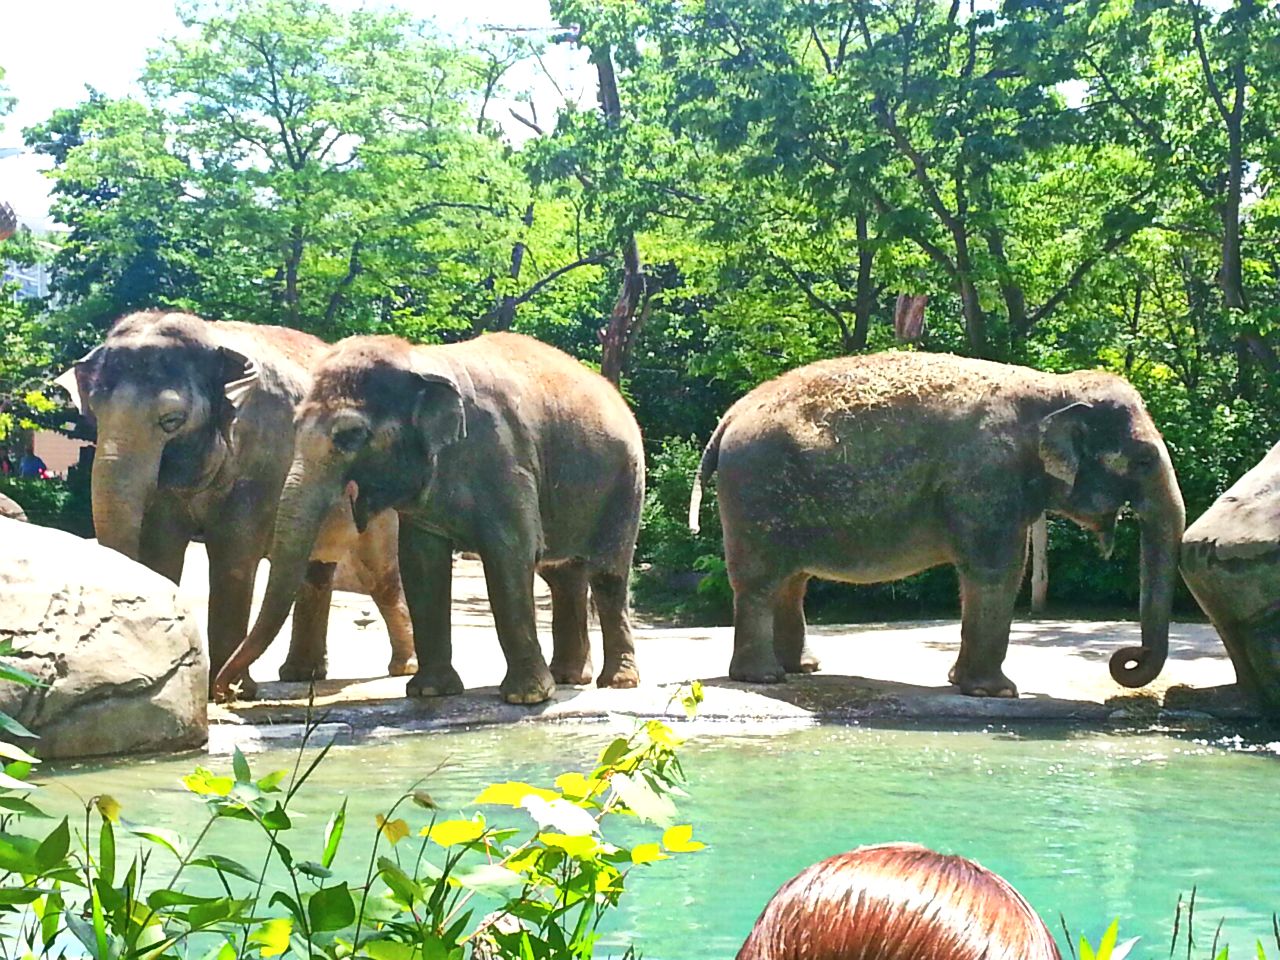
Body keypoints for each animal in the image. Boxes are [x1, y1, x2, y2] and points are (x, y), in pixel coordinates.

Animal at [54, 311, 416, 692]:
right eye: (94, 415)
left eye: (171, 420)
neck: (214, 339)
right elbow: (162, 548)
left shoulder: (261, 456)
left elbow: (234, 553)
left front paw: (230, 691)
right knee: (316, 569)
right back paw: (301, 674)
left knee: (380, 575)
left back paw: (402, 667)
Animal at [211, 331, 645, 706]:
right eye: (296, 426)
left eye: (350, 435)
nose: (226, 692)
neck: (423, 360)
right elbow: (421, 562)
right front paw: (430, 692)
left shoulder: (507, 462)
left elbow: (509, 555)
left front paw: (527, 698)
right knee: (562, 576)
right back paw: (570, 677)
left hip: (625, 484)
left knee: (607, 575)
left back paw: (616, 682)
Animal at [688, 351, 1186, 697]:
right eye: (1144, 460)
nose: (1125, 660)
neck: (1053, 387)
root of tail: (729, 416)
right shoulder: (986, 476)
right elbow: (998, 570)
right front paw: (996, 693)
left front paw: (961, 682)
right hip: (755, 487)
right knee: (761, 581)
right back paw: (765, 679)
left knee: (792, 580)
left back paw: (803, 669)